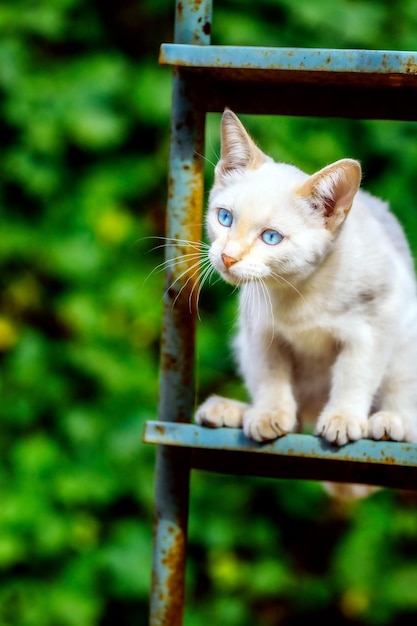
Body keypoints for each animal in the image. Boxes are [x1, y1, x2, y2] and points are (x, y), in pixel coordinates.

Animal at [196, 109, 417, 446]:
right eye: (225, 218)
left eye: (271, 237)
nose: (228, 257)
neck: (301, 290)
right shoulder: (260, 328)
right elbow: (271, 374)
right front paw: (270, 413)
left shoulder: (376, 322)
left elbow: (356, 373)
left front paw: (343, 418)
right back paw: (233, 411)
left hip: (407, 342)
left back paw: (393, 422)